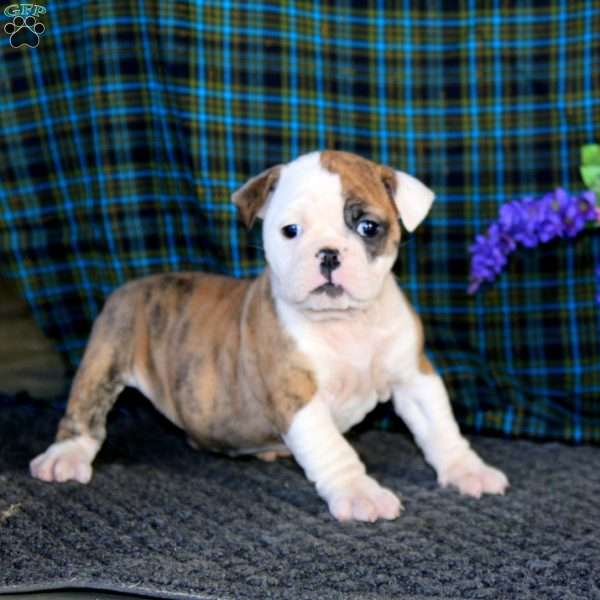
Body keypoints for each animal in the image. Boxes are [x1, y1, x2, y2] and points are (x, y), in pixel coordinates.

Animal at [28, 150, 506, 520]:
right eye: (290, 231)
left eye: (368, 227)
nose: (327, 254)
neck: (345, 323)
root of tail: (133, 286)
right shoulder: (296, 395)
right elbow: (334, 450)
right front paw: (359, 494)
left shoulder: (413, 377)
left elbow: (440, 426)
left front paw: (468, 469)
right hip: (105, 357)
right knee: (84, 414)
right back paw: (65, 458)